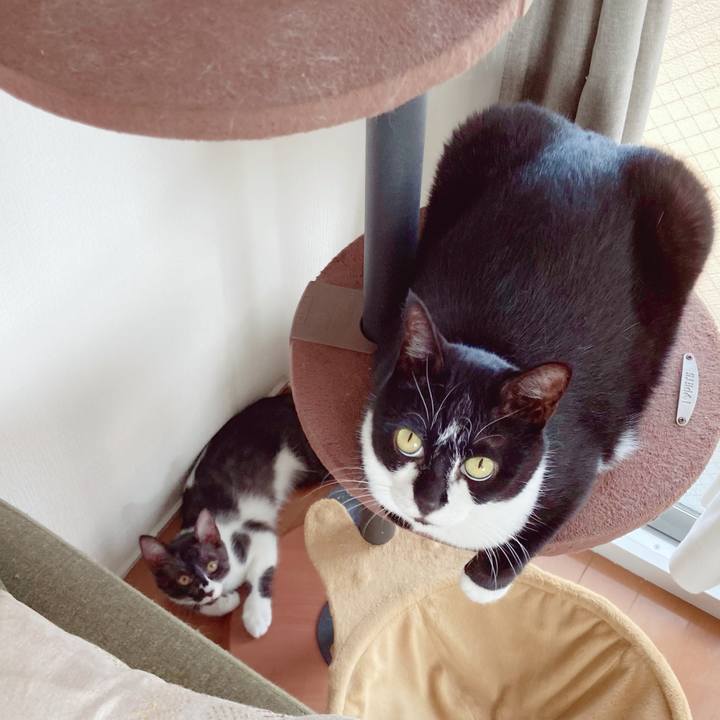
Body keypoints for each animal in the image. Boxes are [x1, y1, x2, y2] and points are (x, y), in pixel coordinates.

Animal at [139, 393, 323, 638]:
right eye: (184, 579)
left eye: (211, 565)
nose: (207, 590)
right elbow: (194, 605)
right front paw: (226, 602)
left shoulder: (257, 534)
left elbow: (261, 572)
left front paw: (255, 616)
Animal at [361, 103, 713, 604]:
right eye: (408, 439)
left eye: (480, 465)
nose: (427, 501)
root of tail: (594, 142)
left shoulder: (575, 459)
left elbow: (551, 514)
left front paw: (482, 582)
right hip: (485, 132)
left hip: (685, 209)